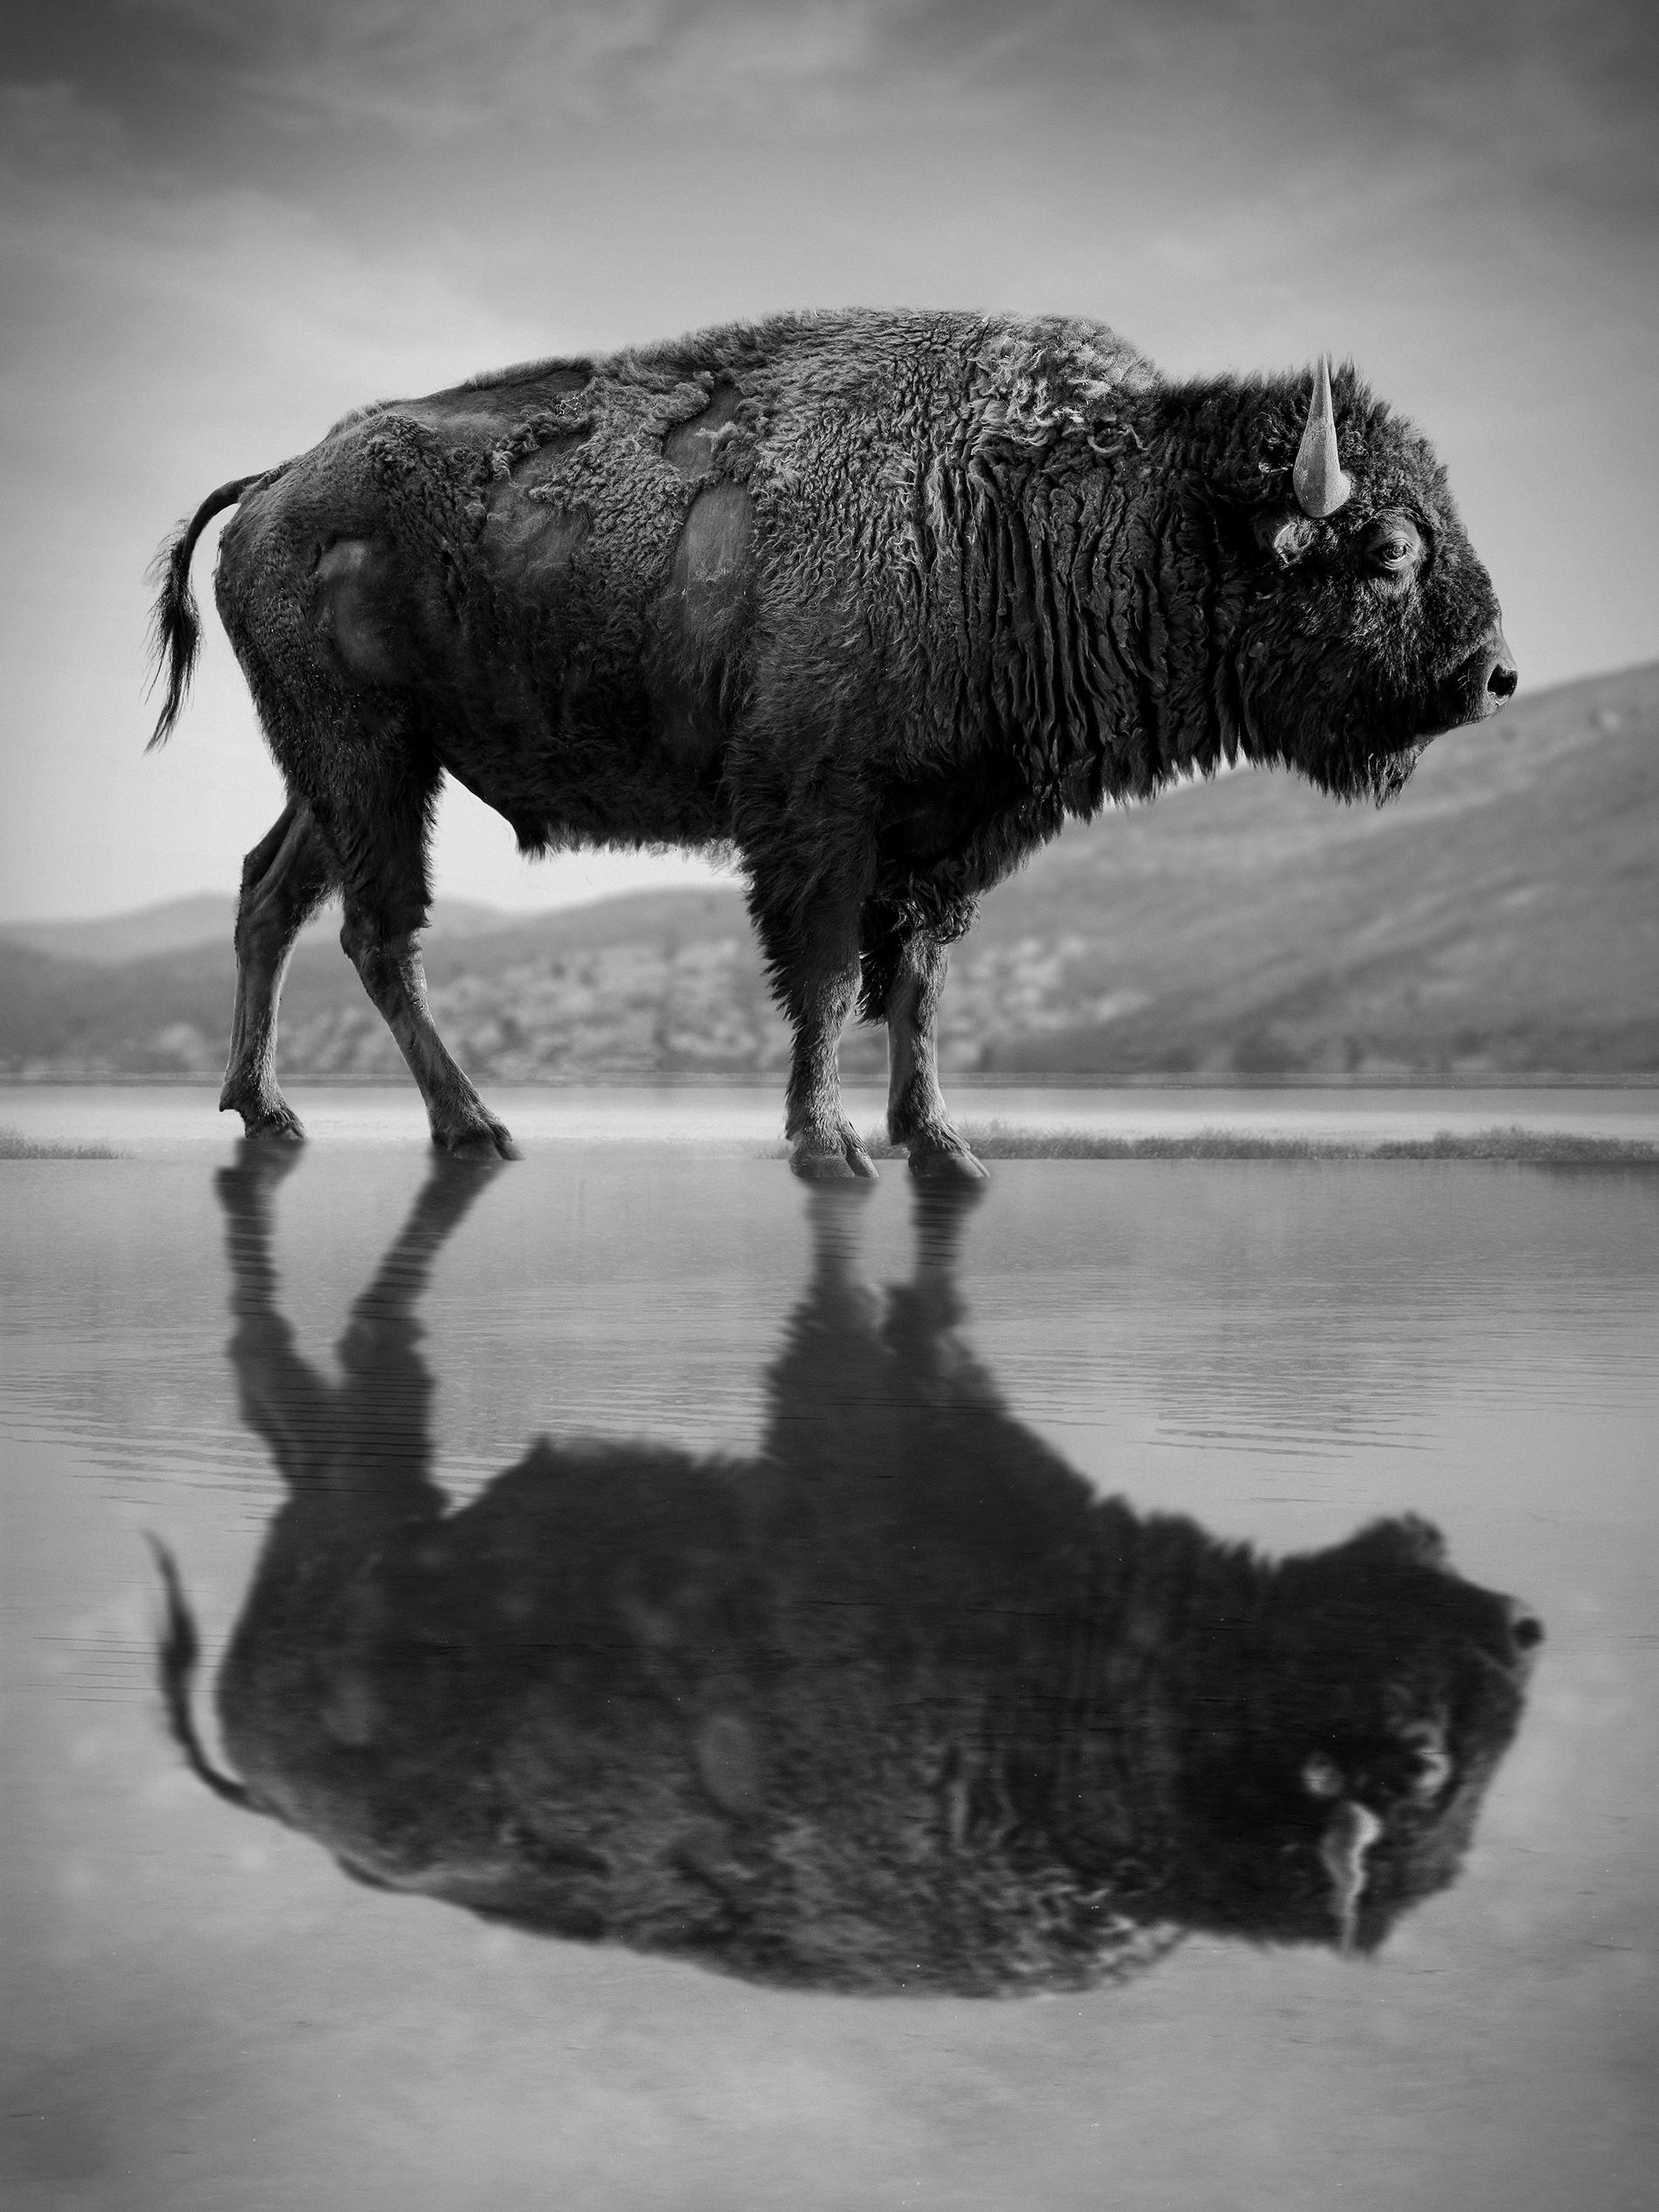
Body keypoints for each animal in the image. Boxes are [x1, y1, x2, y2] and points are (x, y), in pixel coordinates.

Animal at [148, 312, 1515, 1174]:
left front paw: (942, 1145)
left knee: (270, 895)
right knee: (379, 933)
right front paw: (830, 1146)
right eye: (1389, 550)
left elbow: (916, 983)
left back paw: (267, 1110)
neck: (1011, 510)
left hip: (346, 768)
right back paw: (472, 1128)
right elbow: (822, 976)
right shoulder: (815, 816)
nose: (1495, 674)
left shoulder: (951, 834)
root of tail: (276, 482)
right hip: (369, 758)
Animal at [153, 1154, 1540, 1995]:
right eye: (1422, 1760)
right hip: (364, 1509)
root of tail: (277, 1795)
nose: (1522, 1622)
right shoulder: (898, 1423)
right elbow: (882, 1296)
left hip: (359, 1509)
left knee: (323, 1392)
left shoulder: (881, 1420)